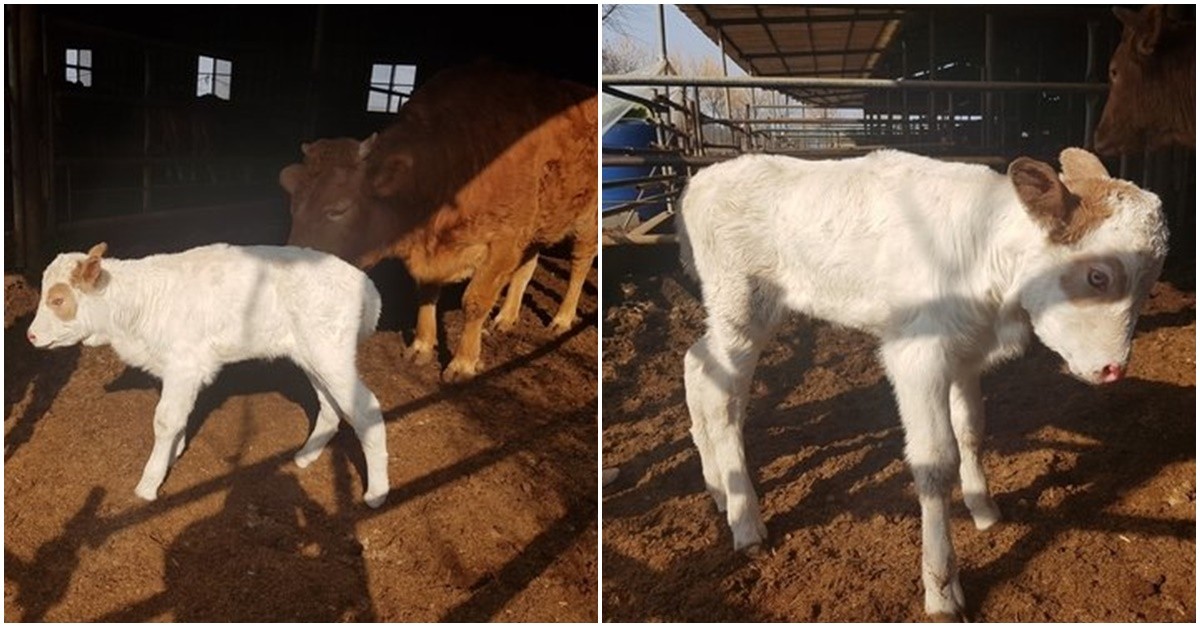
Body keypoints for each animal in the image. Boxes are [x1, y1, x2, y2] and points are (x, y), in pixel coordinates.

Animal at [28, 241, 391, 504]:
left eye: (58, 299)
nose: (30, 336)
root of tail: (364, 282)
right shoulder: (181, 371)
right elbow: (178, 417)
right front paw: (173, 455)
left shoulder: (184, 363)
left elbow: (164, 420)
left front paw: (148, 484)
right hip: (312, 354)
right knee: (330, 406)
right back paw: (305, 456)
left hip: (330, 351)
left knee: (365, 408)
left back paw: (376, 494)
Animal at [280, 62, 600, 379]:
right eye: (294, 206)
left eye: (337, 209)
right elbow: (426, 292)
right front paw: (421, 346)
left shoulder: (504, 243)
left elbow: (475, 301)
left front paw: (463, 362)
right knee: (527, 267)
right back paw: (507, 317)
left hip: (587, 222)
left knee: (579, 265)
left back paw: (562, 318)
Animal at [681, 146, 1166, 614]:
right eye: (1097, 275)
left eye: (1150, 283)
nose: (1114, 369)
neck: (987, 257)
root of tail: (699, 182)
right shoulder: (917, 355)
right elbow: (935, 461)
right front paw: (942, 589)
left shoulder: (966, 355)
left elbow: (971, 431)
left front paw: (983, 508)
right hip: (741, 302)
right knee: (724, 398)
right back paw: (745, 520)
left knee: (696, 362)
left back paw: (717, 488)